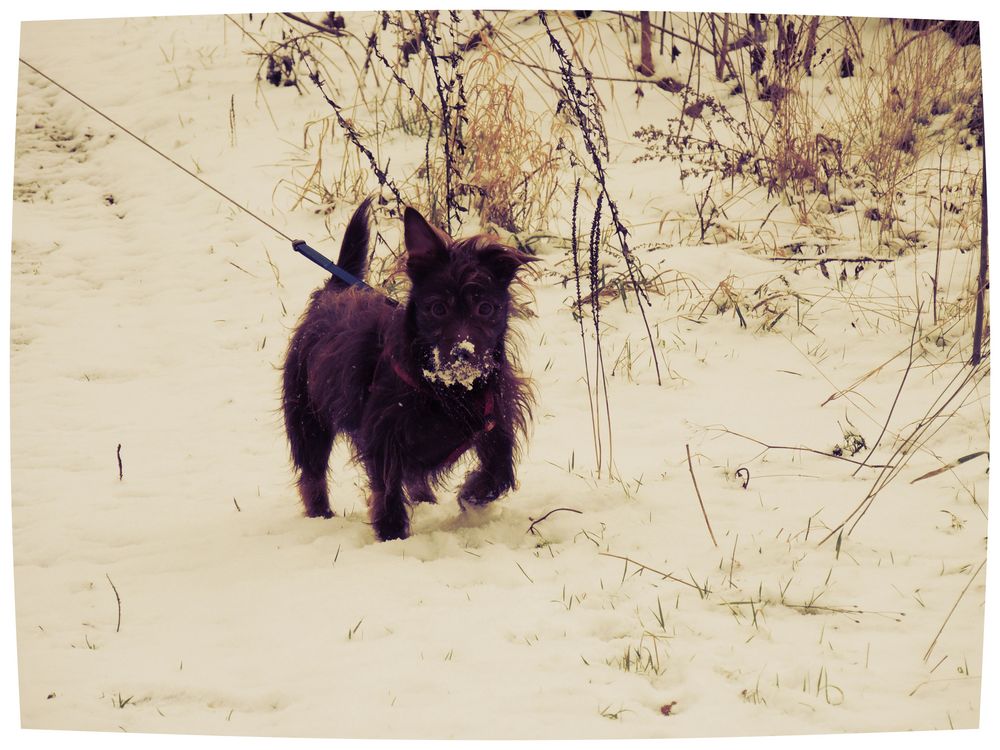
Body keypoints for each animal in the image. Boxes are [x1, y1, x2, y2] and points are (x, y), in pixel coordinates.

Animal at [282, 200, 536, 540]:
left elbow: (499, 472)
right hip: (307, 418)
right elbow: (387, 491)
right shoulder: (383, 438)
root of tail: (333, 291)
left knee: (414, 478)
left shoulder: (497, 421)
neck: (446, 389)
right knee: (313, 476)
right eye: (438, 309)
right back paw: (321, 516)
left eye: (486, 308)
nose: (463, 354)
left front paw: (470, 495)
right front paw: (392, 536)